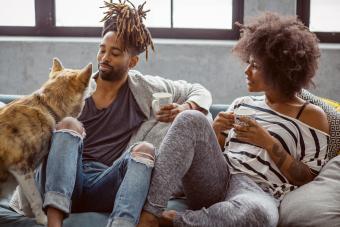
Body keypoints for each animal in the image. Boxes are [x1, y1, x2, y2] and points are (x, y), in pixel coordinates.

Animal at [0, 57, 91, 224]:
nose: (96, 77)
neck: (46, 106)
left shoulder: (24, 173)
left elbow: (26, 196)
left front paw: (31, 215)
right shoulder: (20, 167)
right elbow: (35, 197)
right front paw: (43, 219)